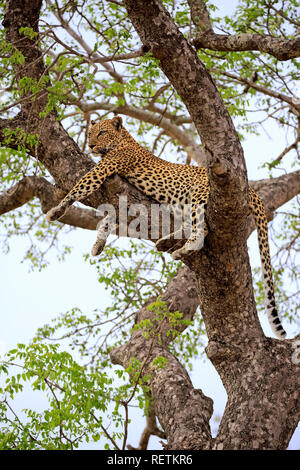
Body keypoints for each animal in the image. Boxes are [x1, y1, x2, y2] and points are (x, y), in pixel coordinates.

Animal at [46, 115, 286, 340]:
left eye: (102, 133)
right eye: (90, 134)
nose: (90, 146)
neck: (123, 140)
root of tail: (251, 190)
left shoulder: (103, 171)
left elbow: (78, 187)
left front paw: (56, 210)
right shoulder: (121, 196)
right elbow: (109, 219)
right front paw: (98, 244)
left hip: (197, 194)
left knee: (202, 229)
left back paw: (182, 249)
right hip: (182, 204)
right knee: (197, 226)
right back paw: (166, 242)